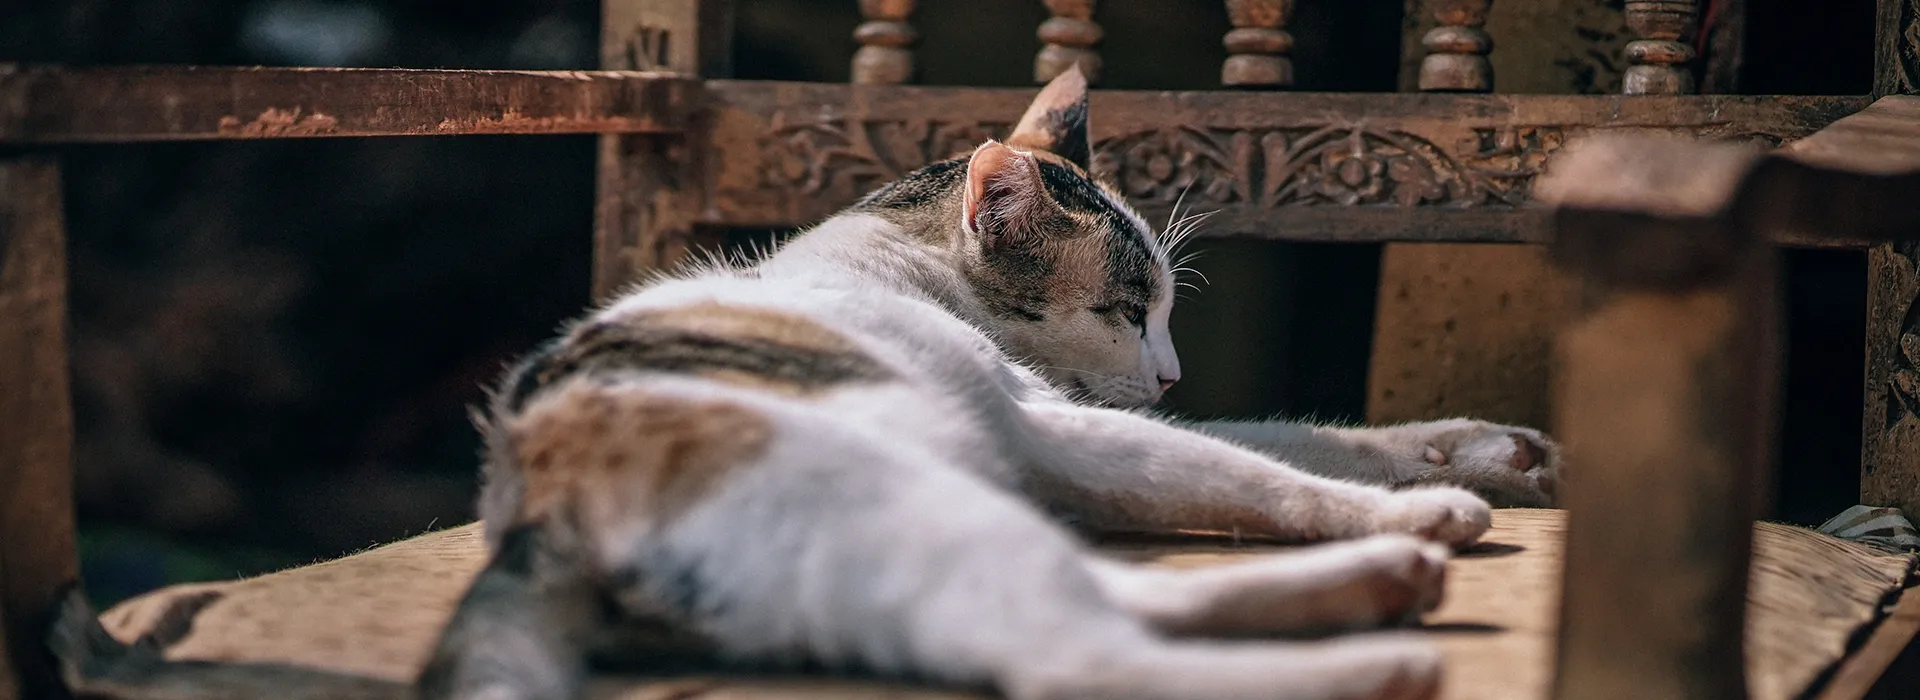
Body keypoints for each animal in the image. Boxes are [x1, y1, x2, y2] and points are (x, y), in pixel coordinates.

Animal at [48, 66, 1559, 698]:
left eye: (1167, 312)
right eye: (1129, 309)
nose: (1171, 364)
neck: (893, 259)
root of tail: (531, 519)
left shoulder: (1081, 435)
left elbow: (1301, 437)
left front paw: (1478, 454)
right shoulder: (1066, 431)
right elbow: (1258, 468)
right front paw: (1424, 505)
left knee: (1108, 605)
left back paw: (1380, 593)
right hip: (913, 502)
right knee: (1072, 654)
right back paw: (1383, 637)